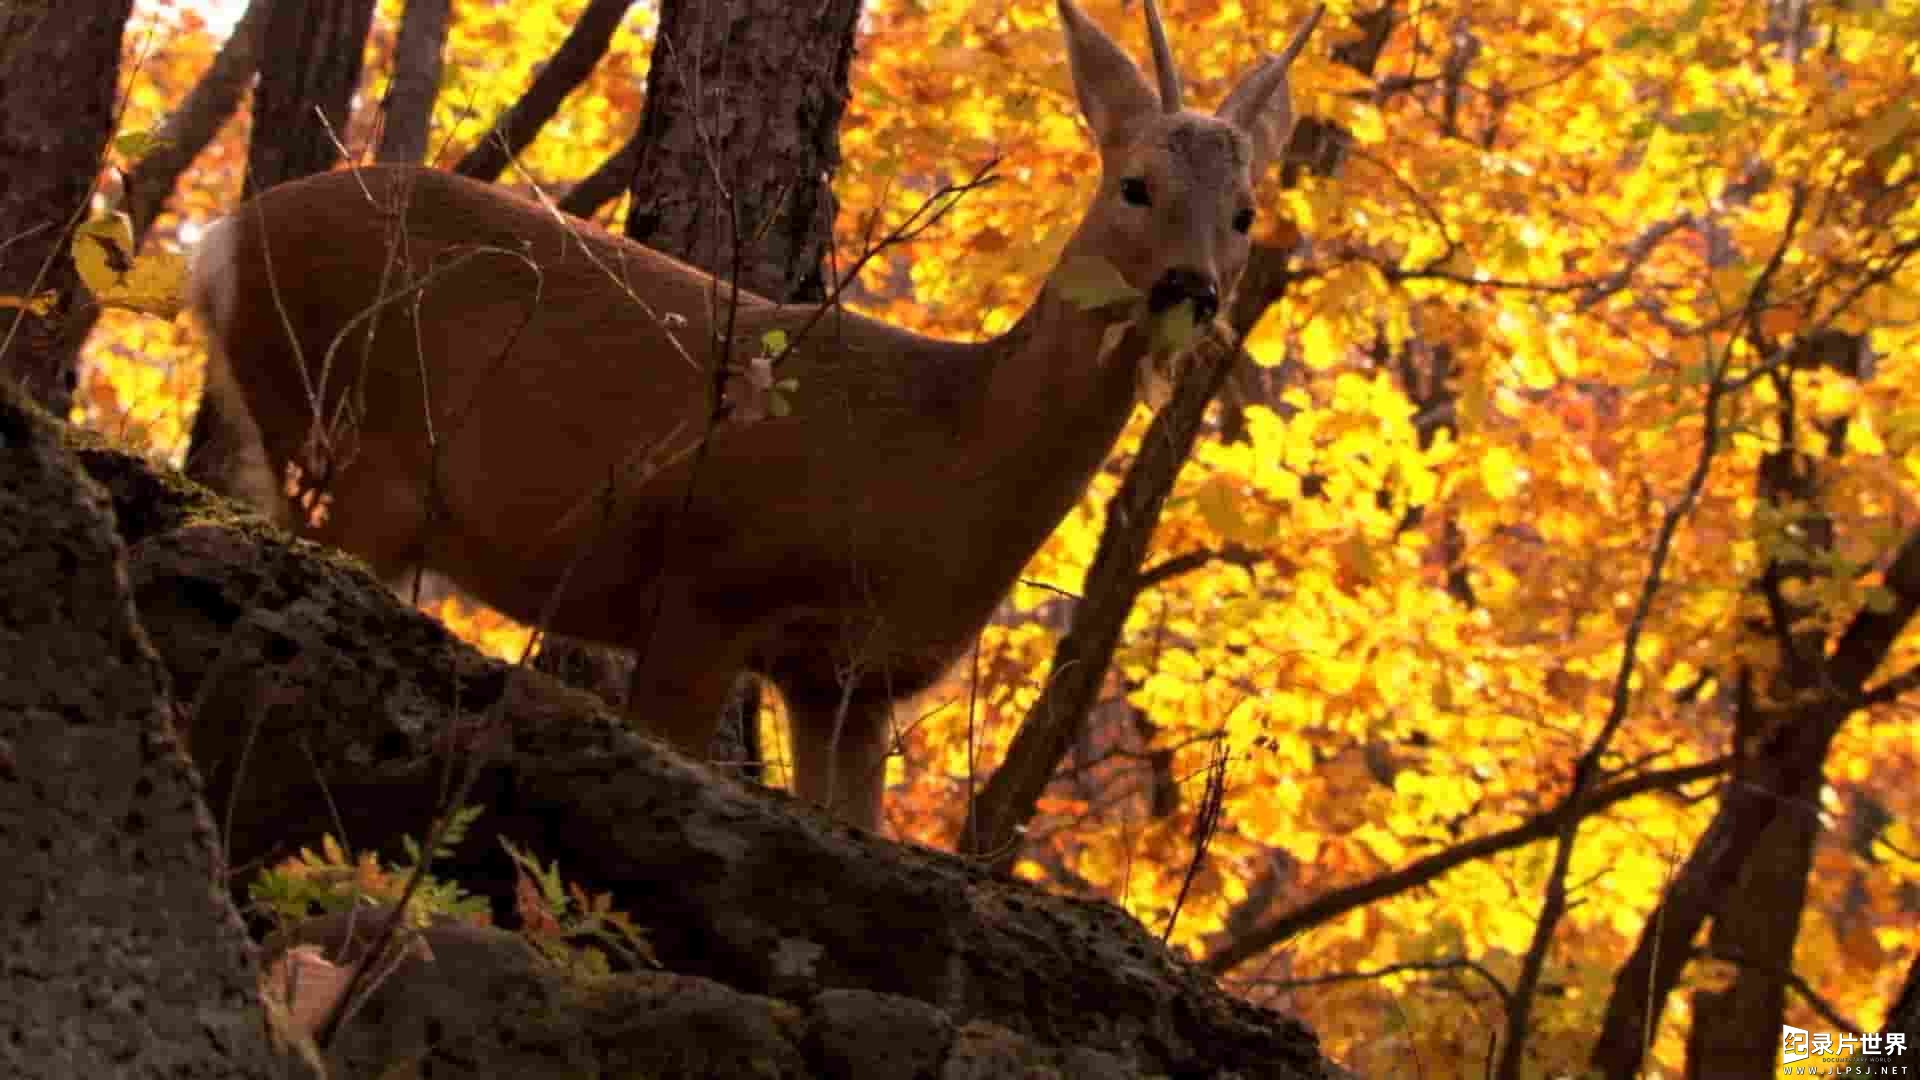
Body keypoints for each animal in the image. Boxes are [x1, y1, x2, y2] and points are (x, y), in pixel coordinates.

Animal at [191, 0, 1320, 834]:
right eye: (1135, 184)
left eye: (1245, 214)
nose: (1192, 288)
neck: (937, 462)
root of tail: (219, 244)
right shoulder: (707, 578)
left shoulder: (851, 682)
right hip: (348, 447)